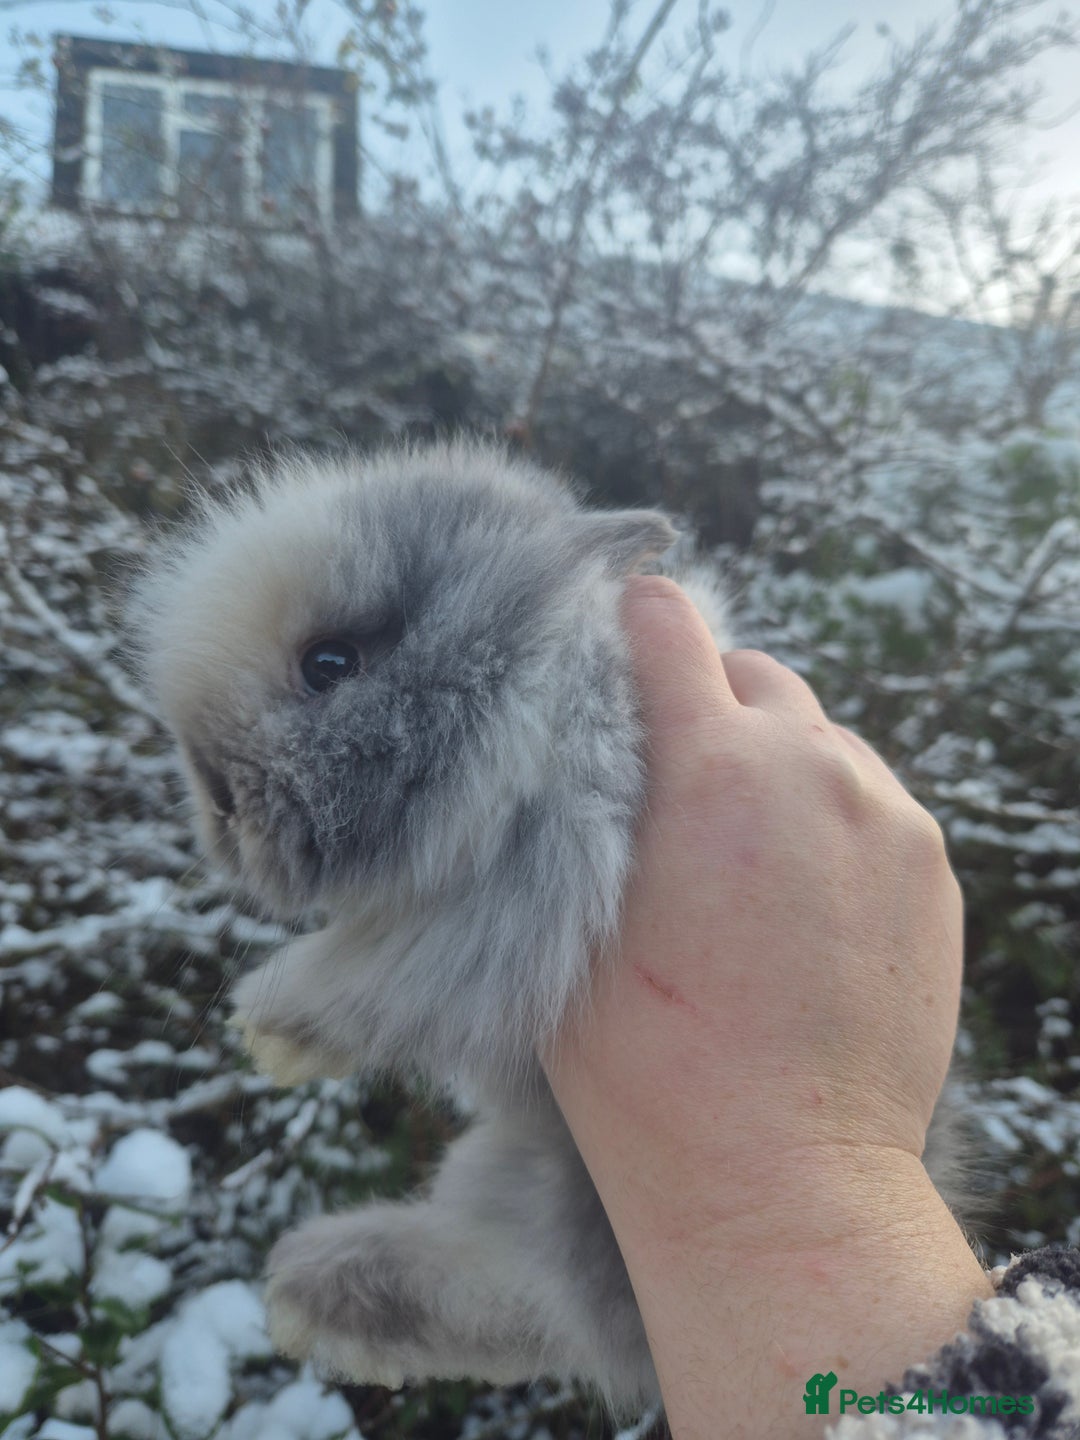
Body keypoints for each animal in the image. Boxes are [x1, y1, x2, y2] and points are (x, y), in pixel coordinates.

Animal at [131, 436, 964, 1414]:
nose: (217, 803)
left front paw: (269, 1030)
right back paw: (316, 1289)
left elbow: (365, 975)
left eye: (329, 664)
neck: (531, 687)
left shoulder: (509, 911)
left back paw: (313, 1294)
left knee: (533, 1299)